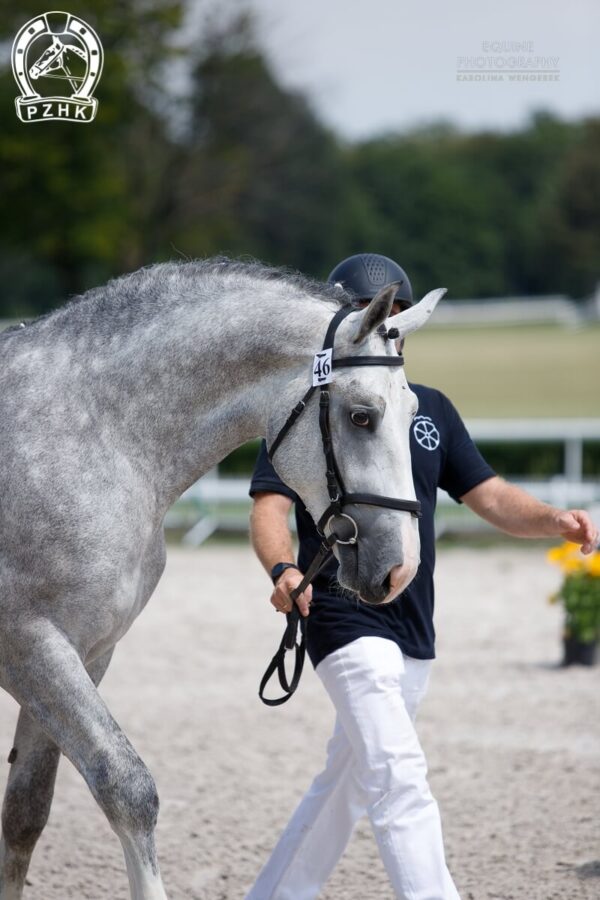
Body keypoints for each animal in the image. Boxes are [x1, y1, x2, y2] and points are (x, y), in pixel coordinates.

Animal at [0, 256, 440, 896]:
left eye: (412, 414)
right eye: (362, 416)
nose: (401, 567)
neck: (94, 435)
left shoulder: (86, 651)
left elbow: (25, 813)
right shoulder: (30, 645)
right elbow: (127, 787)